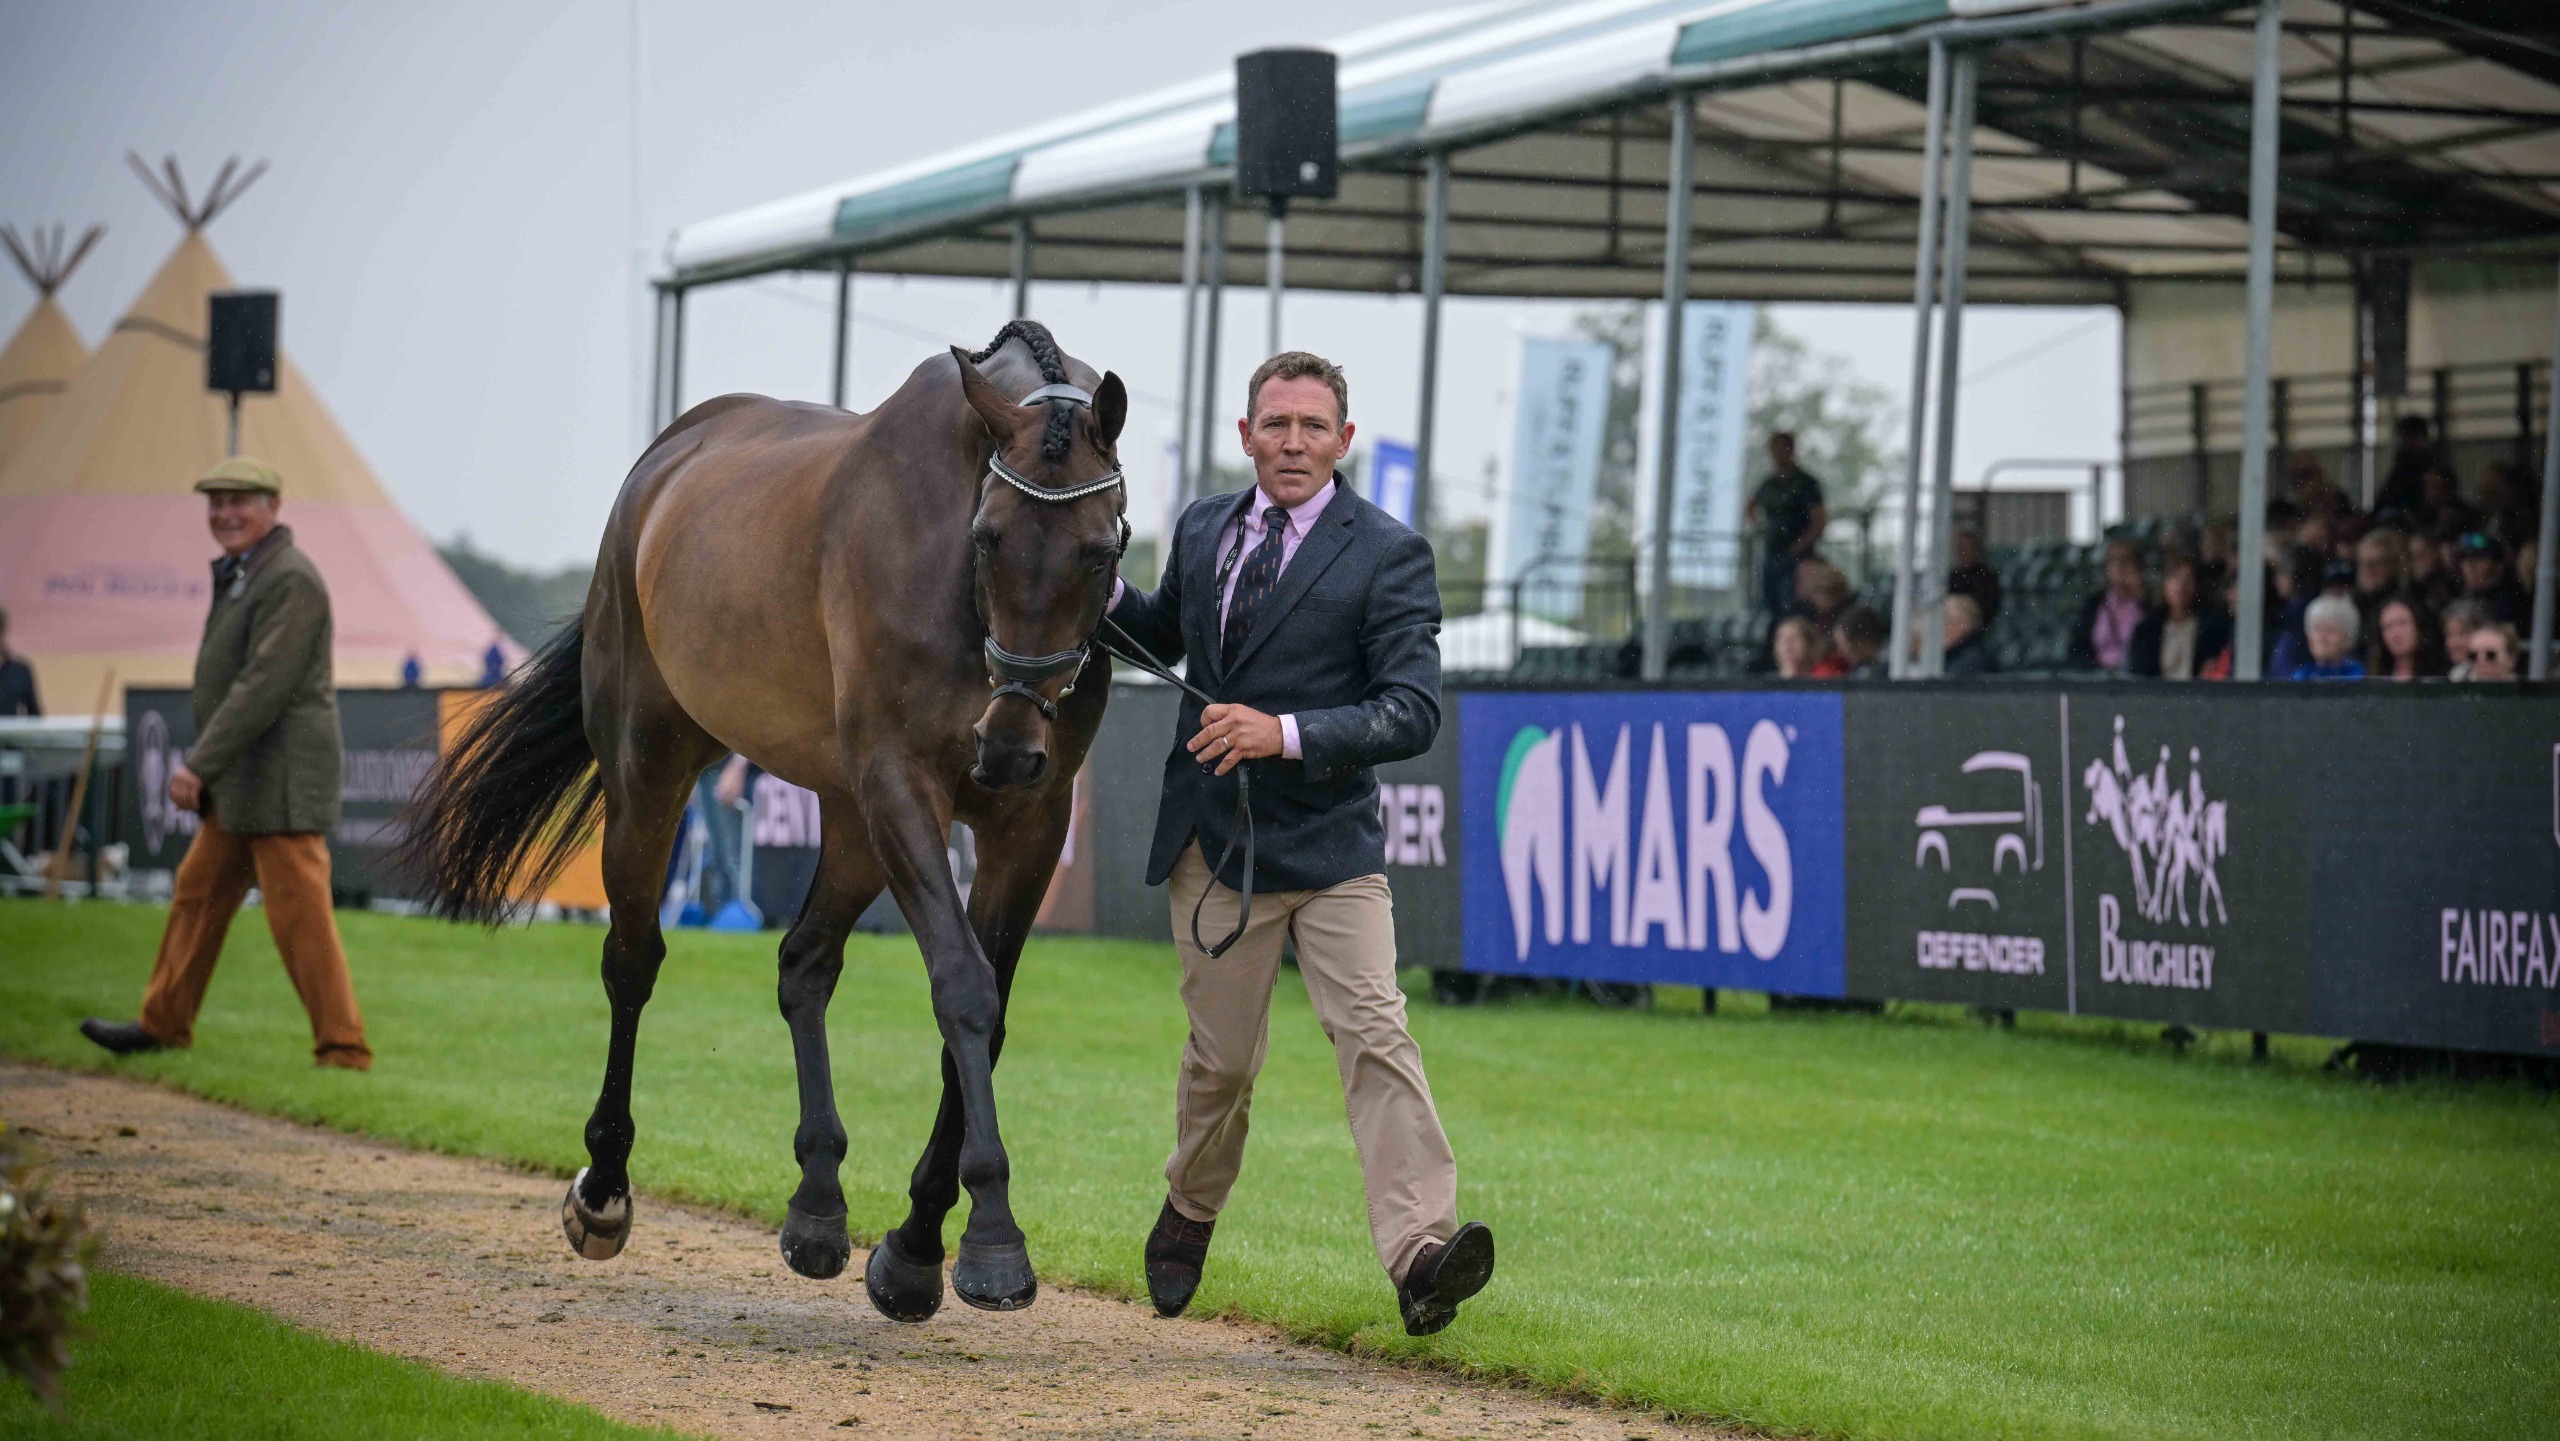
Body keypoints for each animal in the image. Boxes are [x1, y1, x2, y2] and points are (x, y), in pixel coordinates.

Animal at [395, 320, 1130, 1322]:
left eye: (1099, 549)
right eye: (987, 538)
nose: (1011, 744)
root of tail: (664, 459)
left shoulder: (1031, 820)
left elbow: (985, 1014)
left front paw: (914, 1247)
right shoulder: (902, 781)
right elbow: (962, 988)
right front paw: (990, 1237)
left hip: (851, 818)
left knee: (804, 961)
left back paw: (818, 1203)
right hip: (655, 764)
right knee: (633, 958)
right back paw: (605, 1184)